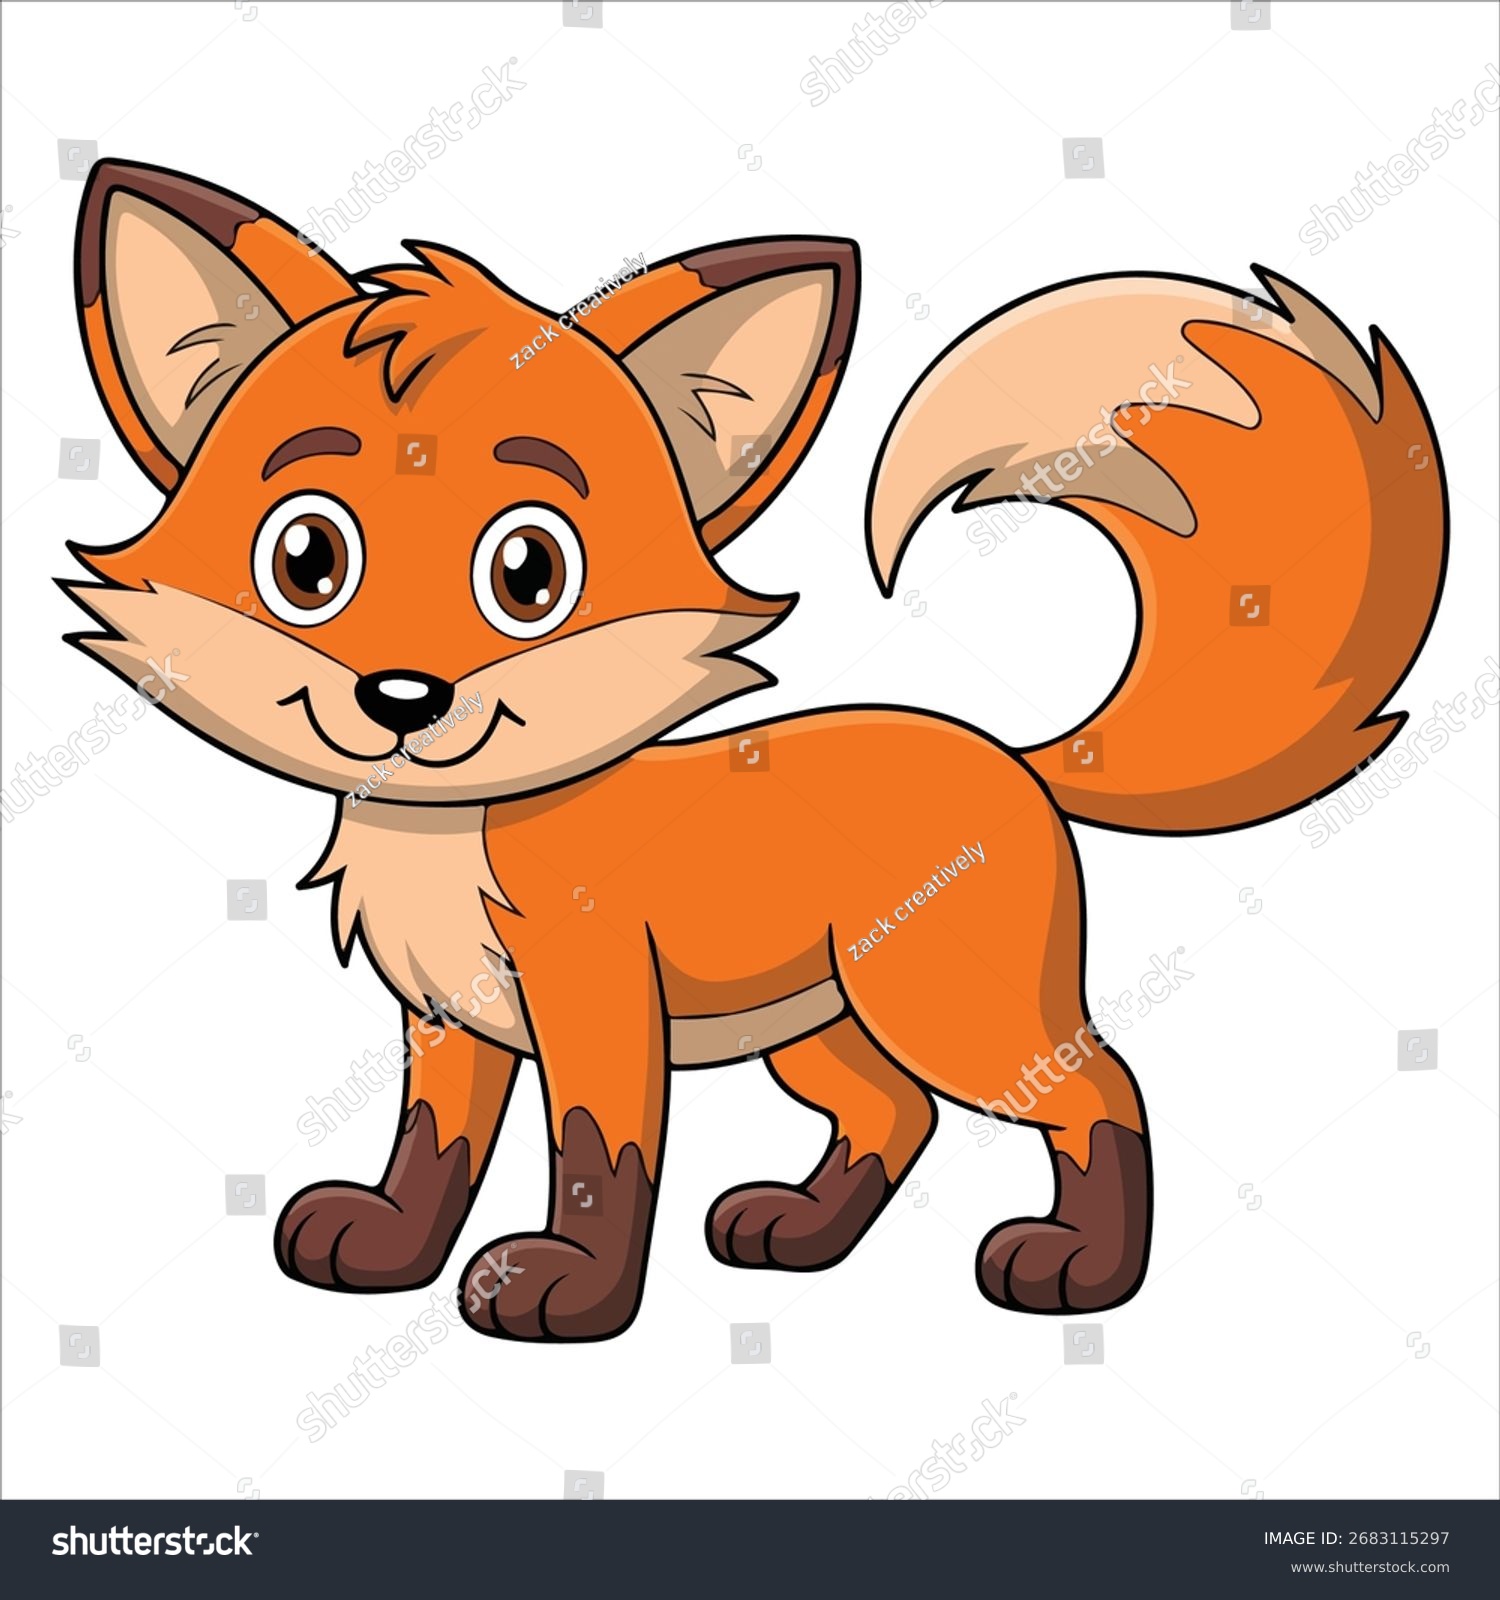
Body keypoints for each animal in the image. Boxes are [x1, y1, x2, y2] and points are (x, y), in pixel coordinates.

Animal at [64, 160, 1446, 1342]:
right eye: (307, 558)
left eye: (529, 573)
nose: (404, 696)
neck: (455, 834)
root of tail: (1010, 752)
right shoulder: (451, 1016)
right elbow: (435, 1150)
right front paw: (394, 1247)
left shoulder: (596, 999)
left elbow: (599, 1155)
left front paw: (571, 1293)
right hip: (821, 1023)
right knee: (895, 1113)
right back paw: (801, 1232)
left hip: (947, 1008)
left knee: (1099, 1090)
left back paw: (1080, 1272)